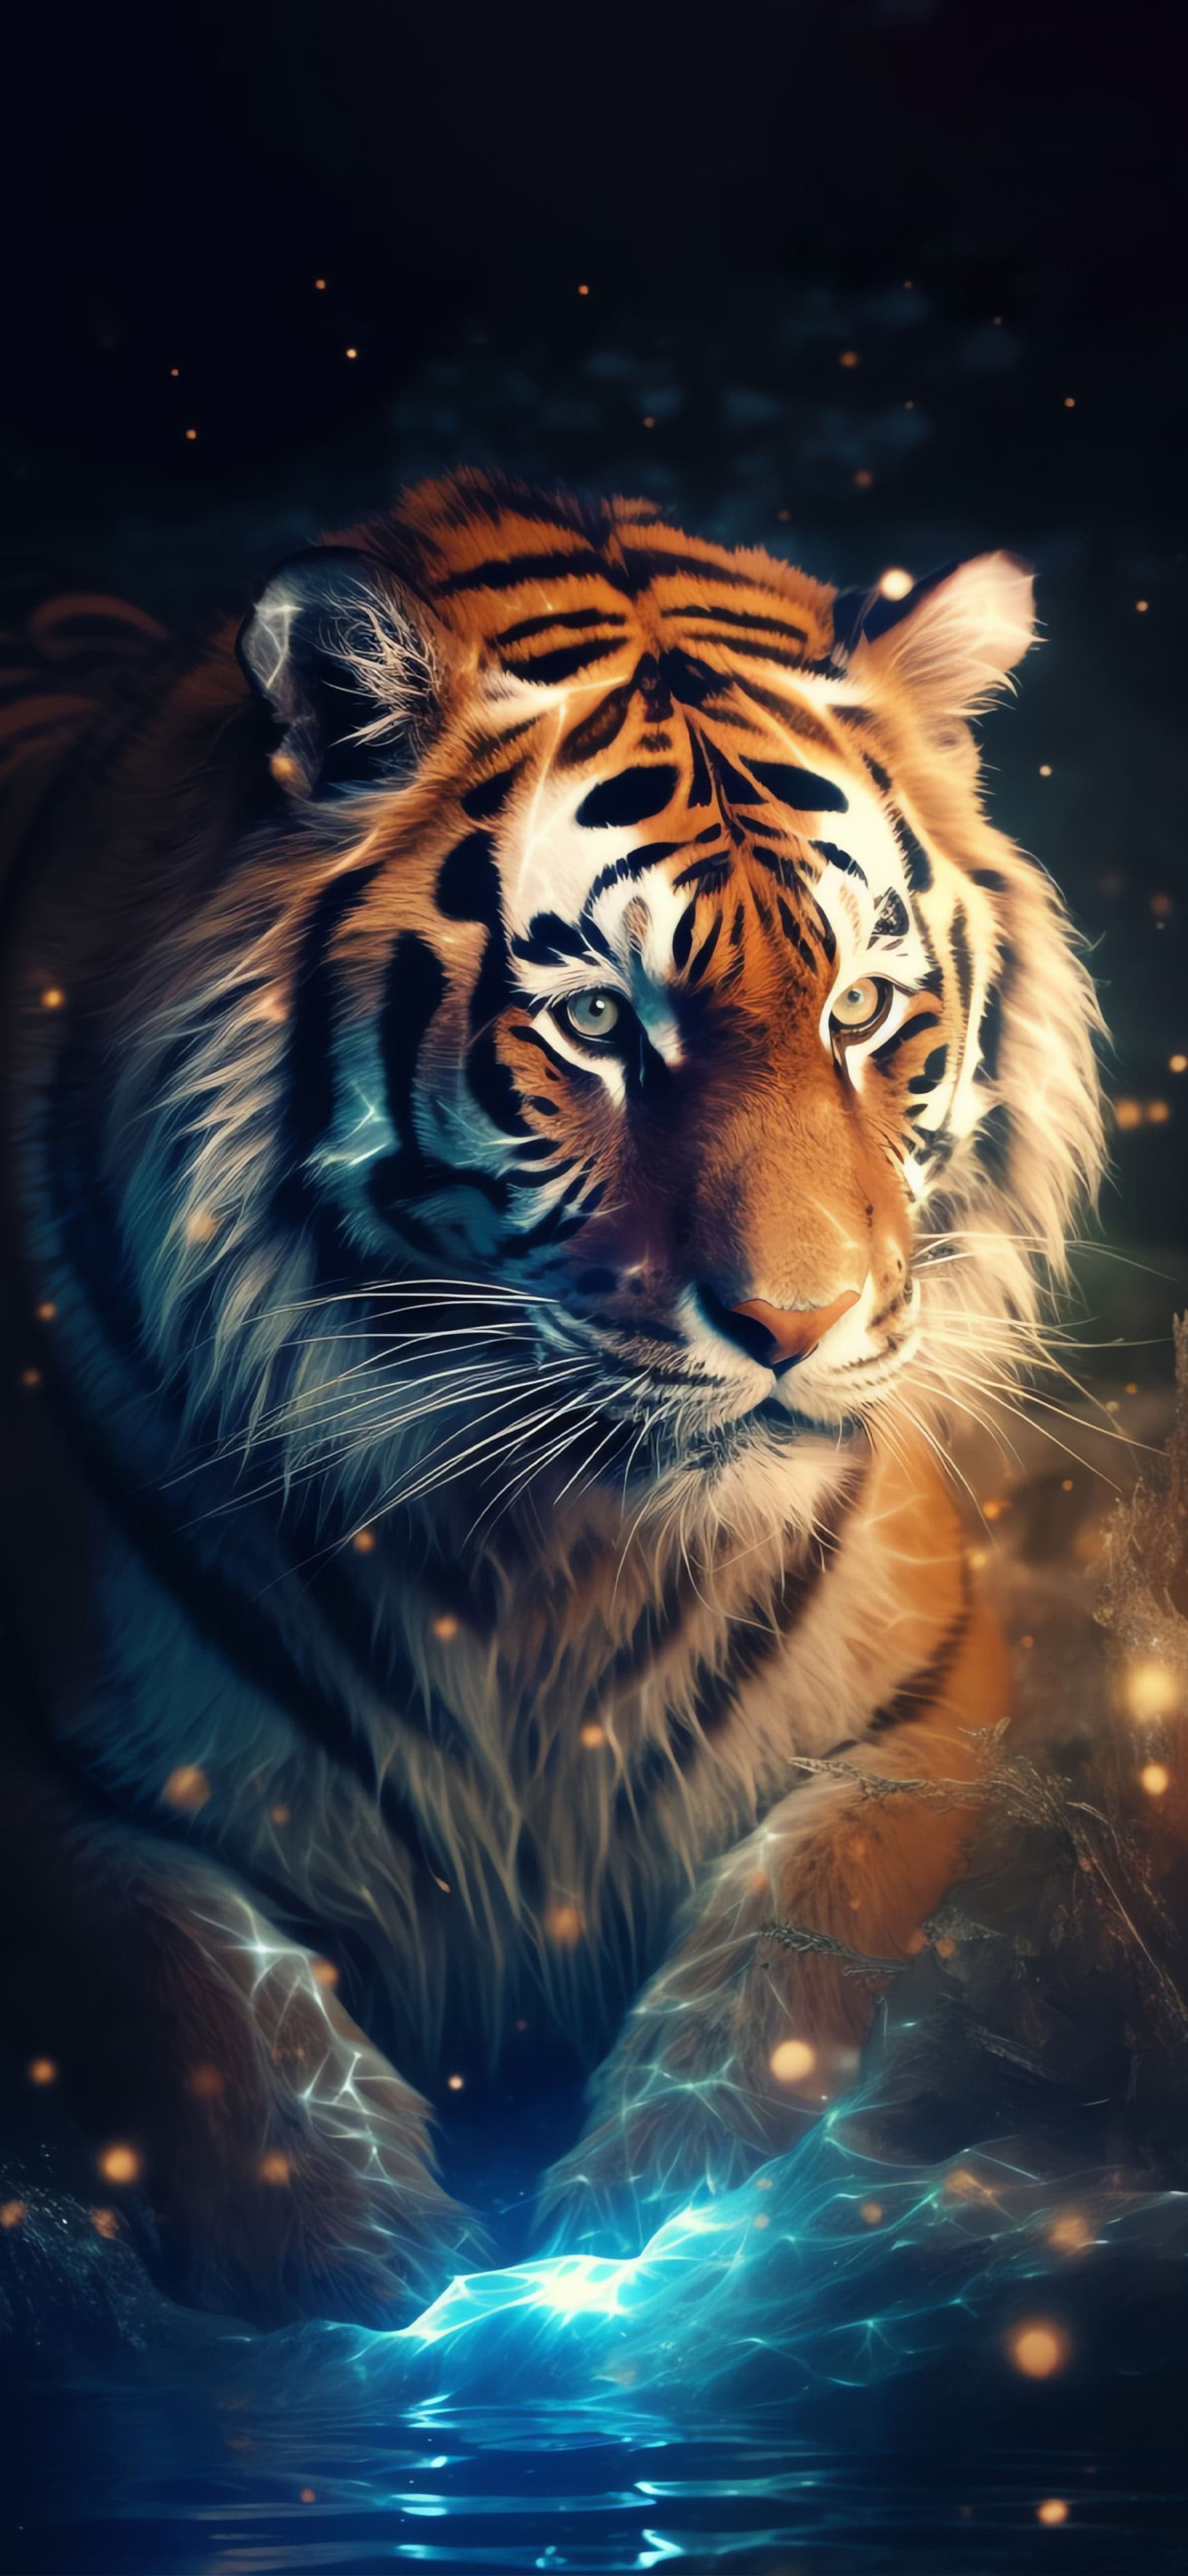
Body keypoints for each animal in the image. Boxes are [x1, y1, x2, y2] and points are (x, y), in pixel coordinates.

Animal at [0, 469, 1103, 2326]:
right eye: (593, 1019)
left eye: (860, 1007)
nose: (795, 1323)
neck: (548, 1564)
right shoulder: (70, 1787)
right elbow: (228, 2030)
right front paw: (383, 2289)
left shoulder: (918, 1705)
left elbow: (779, 1978)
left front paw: (662, 2257)